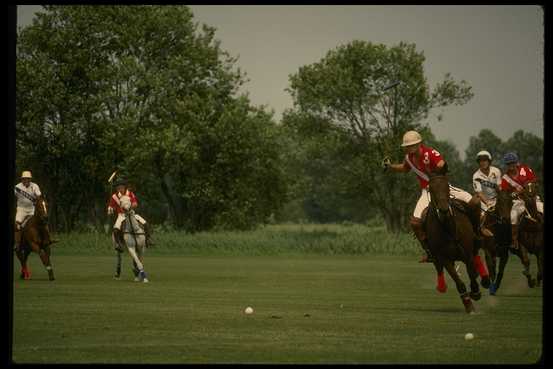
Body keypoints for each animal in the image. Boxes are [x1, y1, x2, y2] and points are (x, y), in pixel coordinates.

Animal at [424, 174, 480, 312]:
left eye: (447, 187)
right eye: (431, 189)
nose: (444, 209)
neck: (449, 229)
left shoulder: (467, 253)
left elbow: (471, 273)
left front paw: (475, 292)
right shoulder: (445, 259)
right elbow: (459, 282)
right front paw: (468, 305)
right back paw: (442, 286)